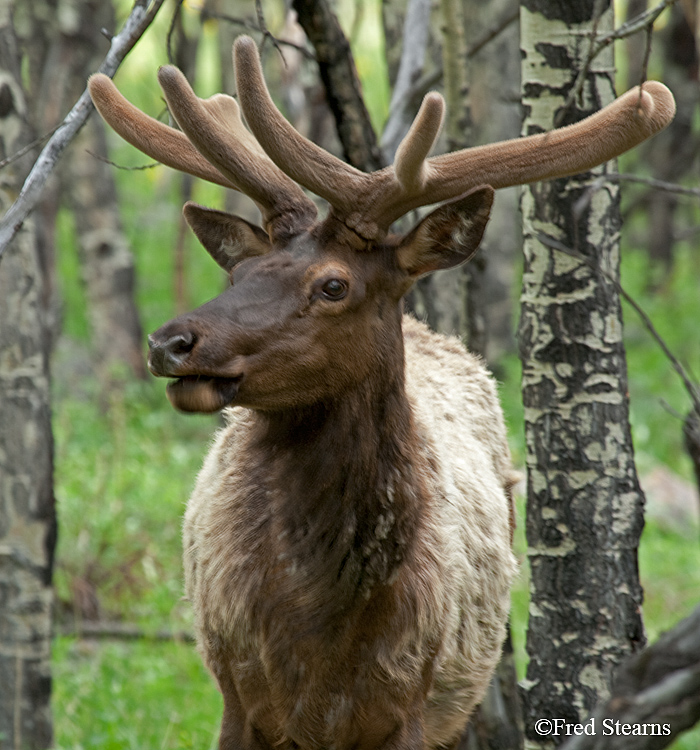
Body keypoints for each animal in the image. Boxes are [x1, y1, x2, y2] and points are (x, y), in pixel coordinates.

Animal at [87, 35, 672, 750]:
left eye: (334, 284)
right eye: (240, 271)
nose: (170, 342)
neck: (321, 634)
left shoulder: (410, 703)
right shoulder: (235, 694)